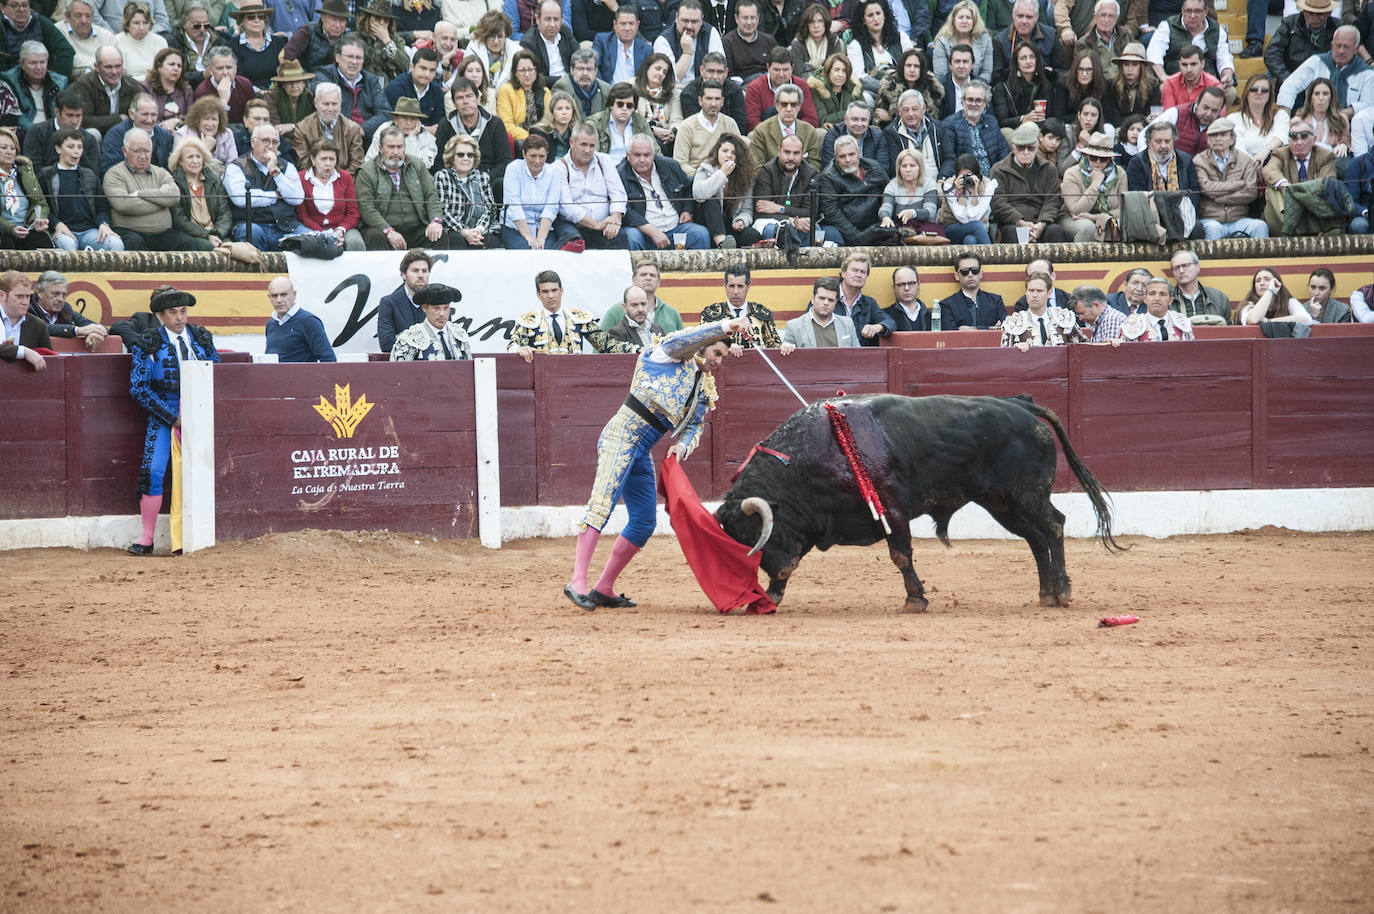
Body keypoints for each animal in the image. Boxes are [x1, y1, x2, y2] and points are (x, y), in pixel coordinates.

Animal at [714, 390, 1121, 610]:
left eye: (757, 534)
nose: (776, 575)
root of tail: (1020, 405)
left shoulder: (891, 509)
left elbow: (900, 554)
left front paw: (915, 601)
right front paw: (772, 595)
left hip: (1027, 495)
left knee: (1053, 526)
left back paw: (1063, 591)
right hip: (1001, 503)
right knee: (1036, 538)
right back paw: (1046, 594)